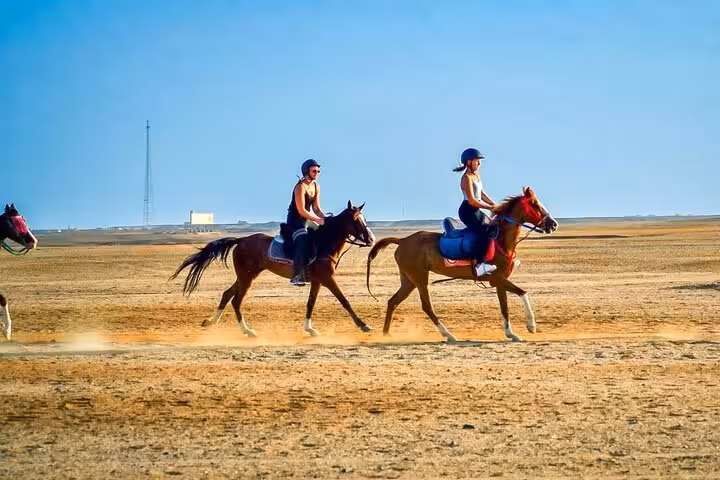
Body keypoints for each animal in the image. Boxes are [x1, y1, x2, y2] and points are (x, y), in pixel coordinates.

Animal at [171, 201, 376, 337]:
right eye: (357, 220)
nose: (371, 239)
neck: (324, 242)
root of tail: (240, 240)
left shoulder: (317, 281)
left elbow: (310, 303)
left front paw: (309, 329)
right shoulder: (327, 279)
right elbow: (344, 301)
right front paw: (363, 325)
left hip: (245, 276)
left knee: (227, 294)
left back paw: (210, 322)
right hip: (247, 278)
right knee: (236, 300)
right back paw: (248, 331)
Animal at [366, 187, 558, 343]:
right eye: (535, 204)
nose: (553, 224)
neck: (501, 241)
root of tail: (403, 240)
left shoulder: (499, 281)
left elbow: (505, 306)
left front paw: (511, 333)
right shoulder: (497, 278)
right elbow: (523, 293)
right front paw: (531, 326)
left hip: (408, 280)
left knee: (393, 301)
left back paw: (386, 334)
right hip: (419, 278)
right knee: (426, 306)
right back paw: (448, 335)